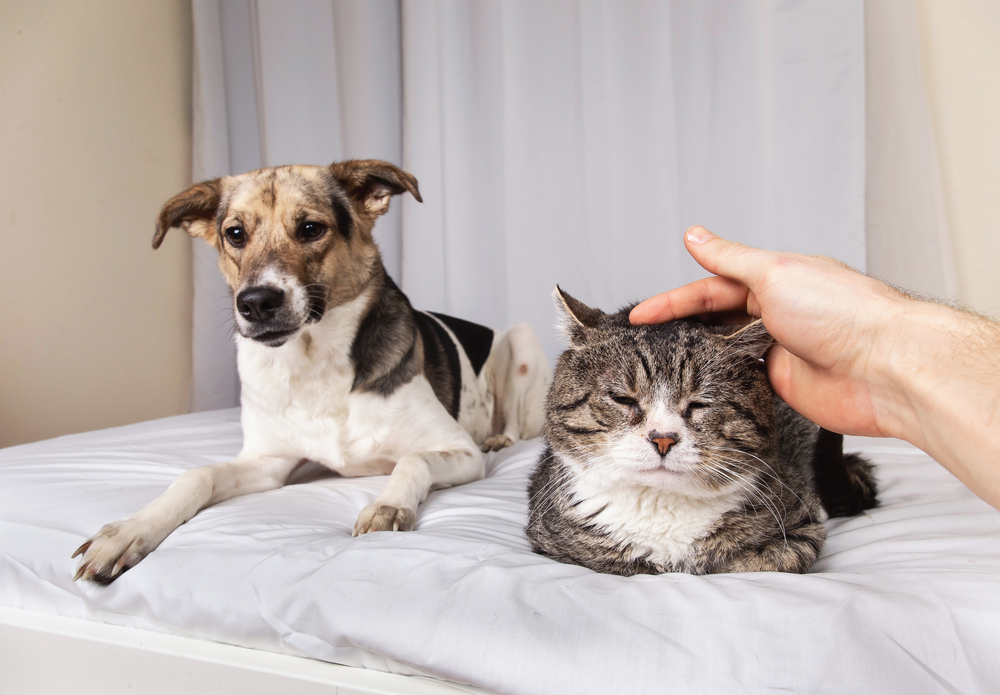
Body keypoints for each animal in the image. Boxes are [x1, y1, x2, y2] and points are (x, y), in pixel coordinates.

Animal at [74, 160, 552, 584]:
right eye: (235, 234)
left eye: (310, 229)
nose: (255, 303)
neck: (313, 364)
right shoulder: (268, 462)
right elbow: (197, 475)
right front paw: (130, 530)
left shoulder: (459, 450)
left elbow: (412, 459)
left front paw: (389, 505)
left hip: (522, 341)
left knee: (515, 423)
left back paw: (499, 438)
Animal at [524, 288, 876, 576]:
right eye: (623, 399)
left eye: (699, 404)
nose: (662, 439)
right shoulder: (551, 537)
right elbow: (616, 561)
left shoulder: (800, 528)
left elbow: (755, 561)